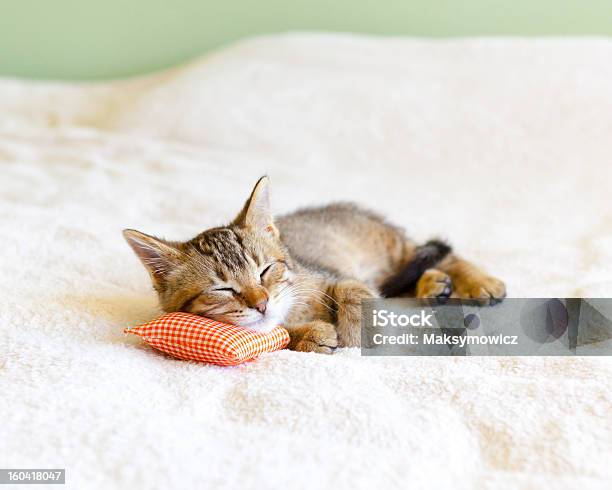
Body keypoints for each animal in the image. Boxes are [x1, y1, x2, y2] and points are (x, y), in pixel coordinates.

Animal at [124, 178, 506, 354]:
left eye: (265, 270)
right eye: (223, 289)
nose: (261, 303)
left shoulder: (330, 276)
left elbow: (353, 290)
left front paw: (356, 330)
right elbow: (276, 336)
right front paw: (310, 335)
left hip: (389, 246)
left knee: (437, 254)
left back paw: (477, 282)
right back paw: (433, 286)